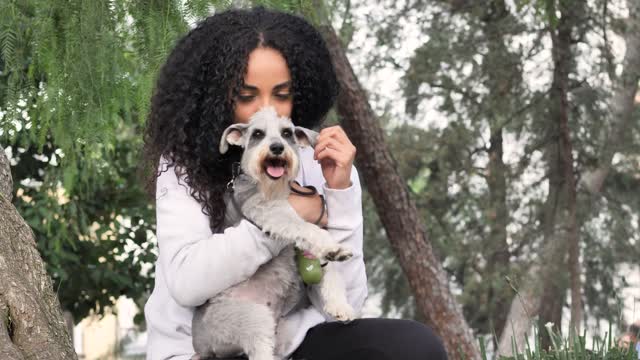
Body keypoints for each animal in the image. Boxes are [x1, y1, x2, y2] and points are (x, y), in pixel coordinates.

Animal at [192, 107, 358, 360]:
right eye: (258, 133)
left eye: (287, 133)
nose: (277, 147)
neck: (276, 188)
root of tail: (203, 347)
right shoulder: (272, 212)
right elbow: (304, 228)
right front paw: (334, 248)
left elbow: (330, 271)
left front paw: (340, 306)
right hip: (251, 318)